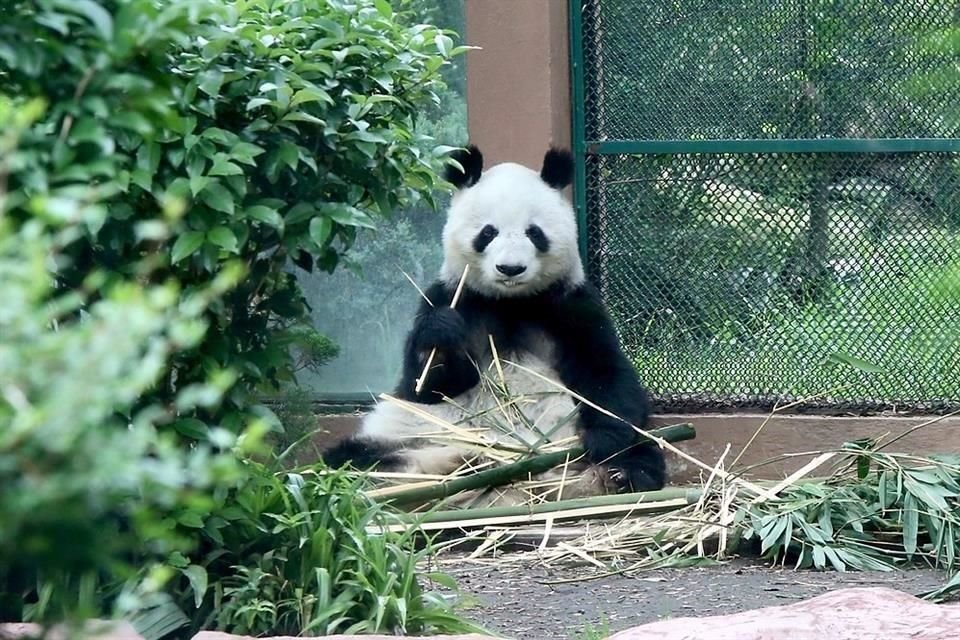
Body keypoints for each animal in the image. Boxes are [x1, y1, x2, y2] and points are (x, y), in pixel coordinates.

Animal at [323, 145, 666, 499]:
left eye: (534, 232)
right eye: (488, 232)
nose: (510, 268)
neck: (509, 303)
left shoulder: (569, 305)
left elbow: (604, 371)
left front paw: (605, 441)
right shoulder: (455, 297)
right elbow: (429, 385)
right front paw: (440, 334)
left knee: (644, 452)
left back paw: (617, 474)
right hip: (411, 429)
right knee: (355, 455)